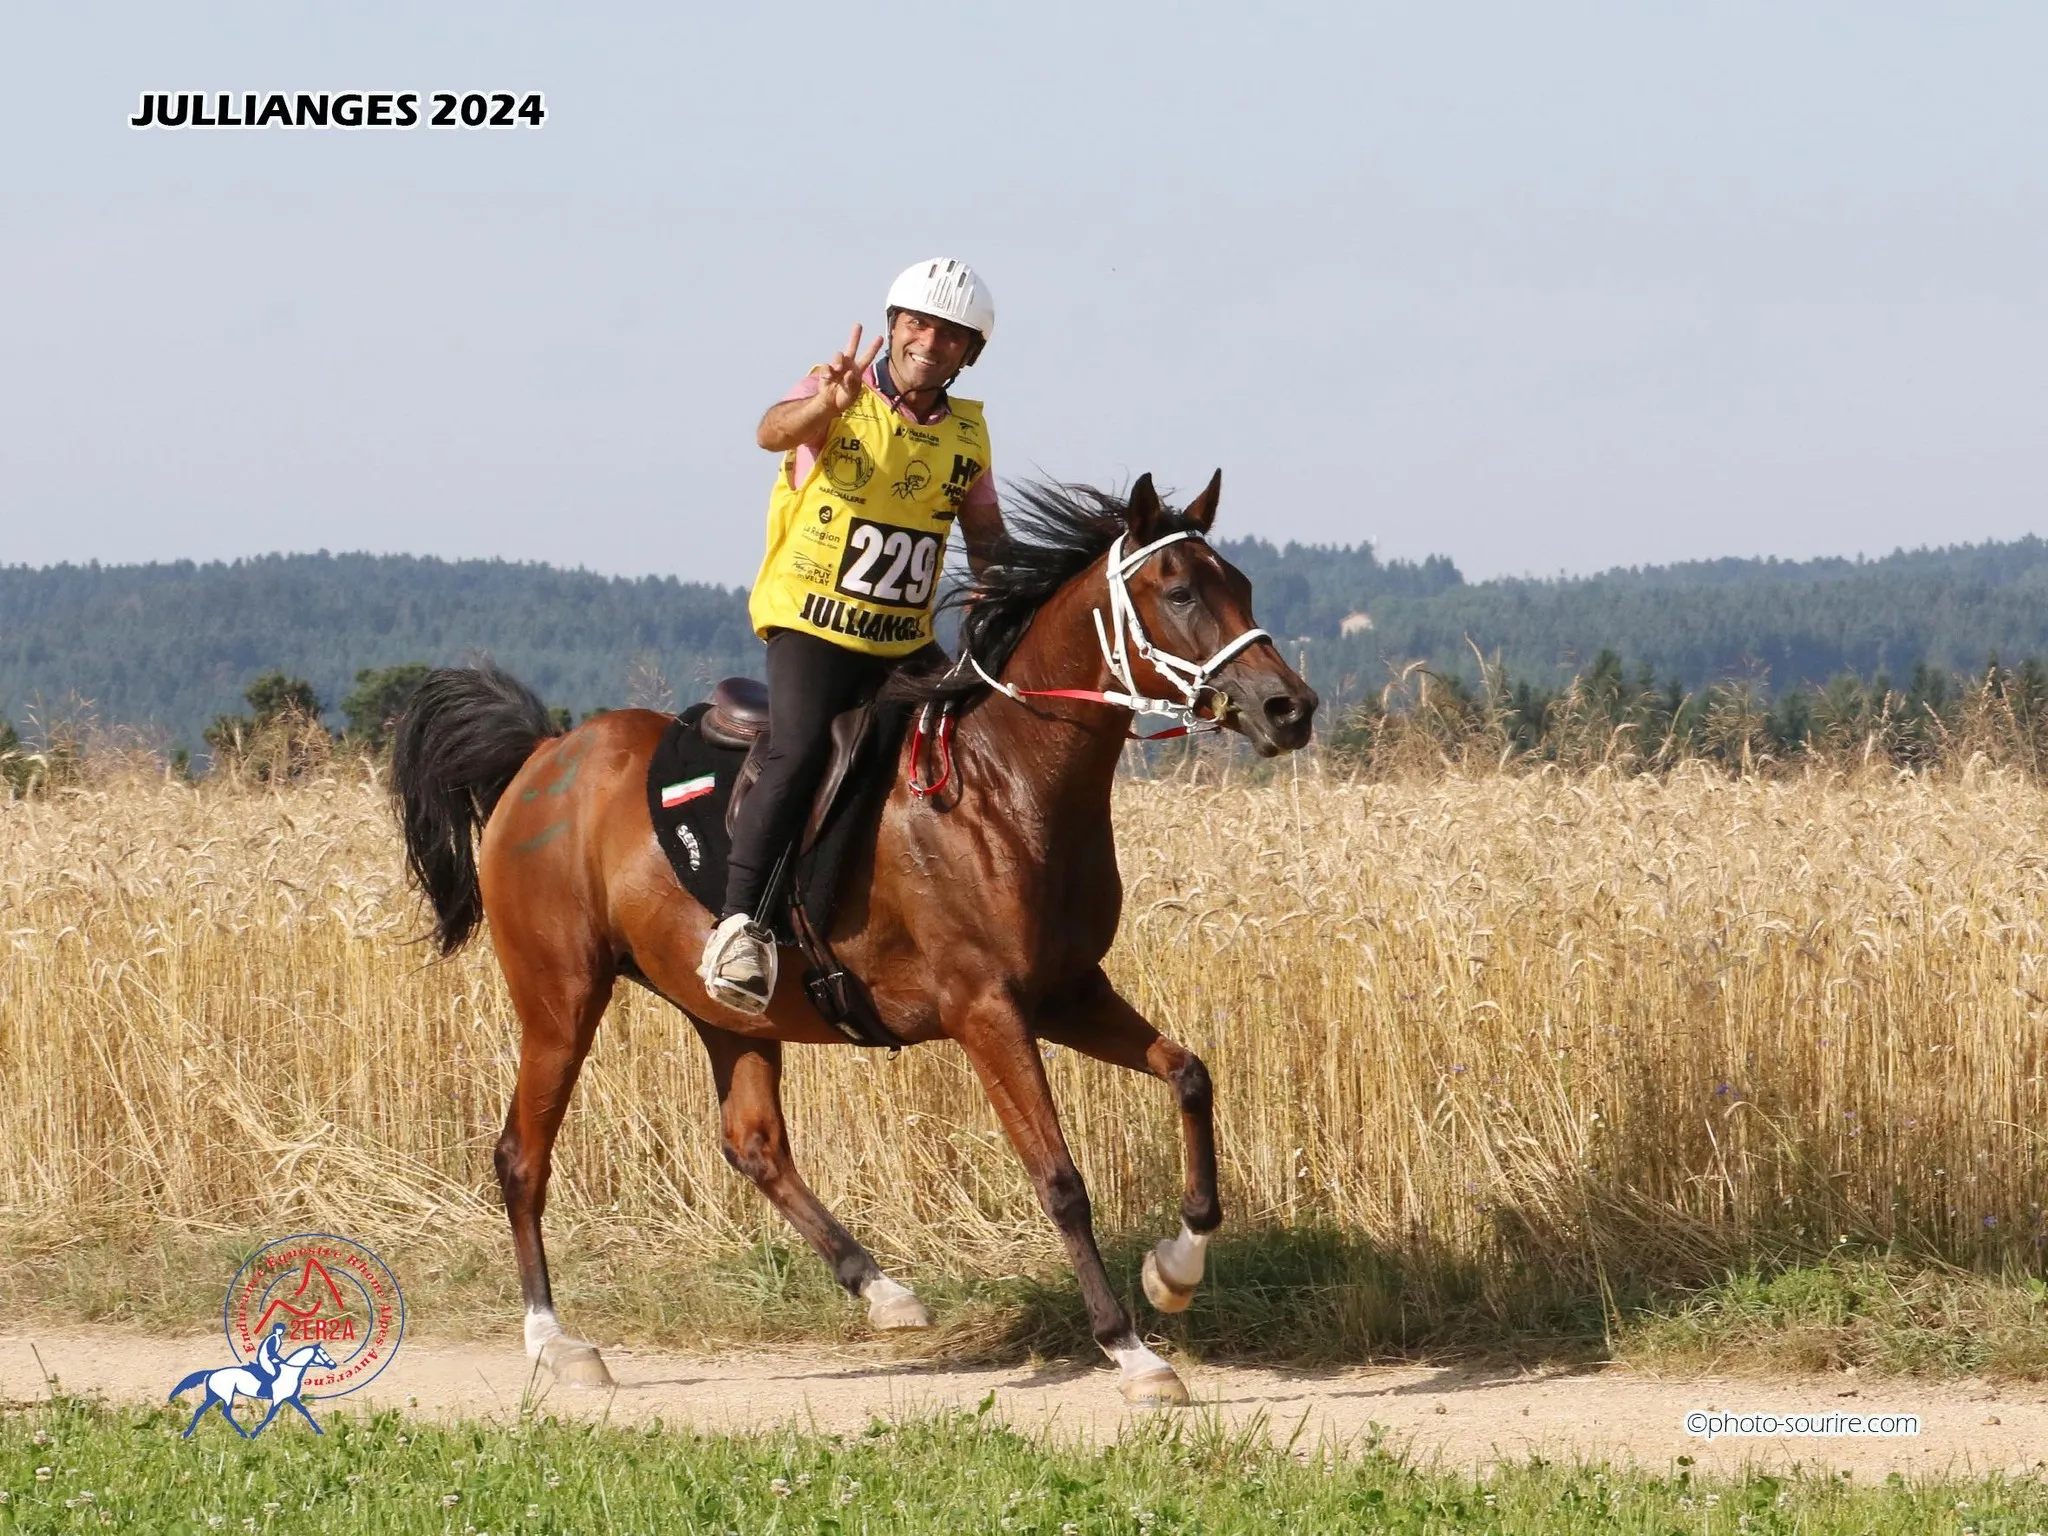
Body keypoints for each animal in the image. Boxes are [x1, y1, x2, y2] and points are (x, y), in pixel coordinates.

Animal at [169, 1342, 338, 1437]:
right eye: (323, 1353)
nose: (333, 1364)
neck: (290, 1372)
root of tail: (212, 1372)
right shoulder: (279, 1398)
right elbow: (270, 1416)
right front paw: (255, 1432)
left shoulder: (291, 1398)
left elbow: (305, 1412)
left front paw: (319, 1431)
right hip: (226, 1395)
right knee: (225, 1412)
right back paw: (243, 1434)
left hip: (214, 1395)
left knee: (200, 1410)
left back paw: (187, 1433)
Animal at [391, 472, 1317, 1405]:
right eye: (1180, 592)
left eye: (1241, 584)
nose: (1291, 707)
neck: (1009, 779)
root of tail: (541, 755)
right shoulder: (987, 1009)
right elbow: (1059, 1179)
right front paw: (1130, 1349)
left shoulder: (1068, 993)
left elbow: (1190, 1075)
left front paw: (1176, 1269)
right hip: (561, 998)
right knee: (522, 1156)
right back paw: (556, 1342)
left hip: (728, 1012)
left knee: (754, 1145)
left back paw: (881, 1288)